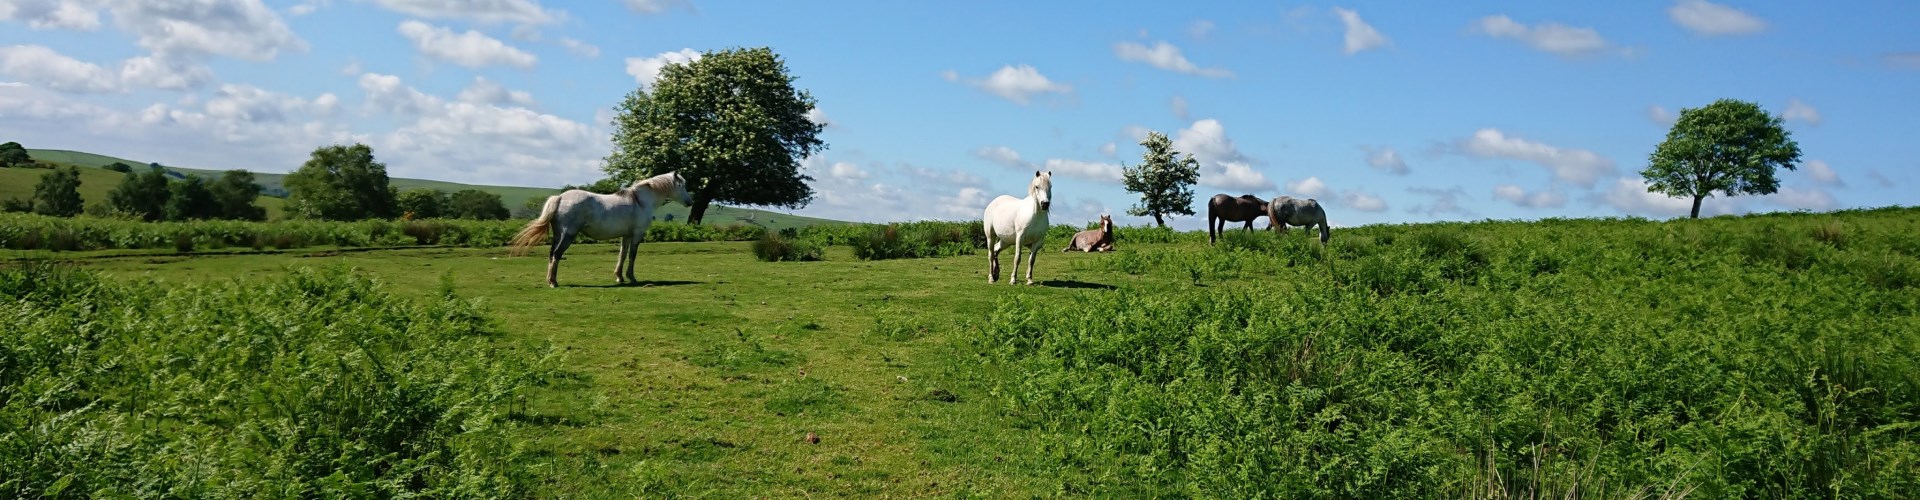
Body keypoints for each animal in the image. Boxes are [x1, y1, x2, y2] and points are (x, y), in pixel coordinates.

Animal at [506, 172, 695, 286]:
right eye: (682, 185)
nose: (690, 202)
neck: (640, 201)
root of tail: (560, 198)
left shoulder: (626, 236)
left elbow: (622, 255)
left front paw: (619, 277)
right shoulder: (636, 235)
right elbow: (632, 256)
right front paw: (631, 278)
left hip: (558, 235)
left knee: (552, 254)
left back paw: (549, 280)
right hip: (568, 235)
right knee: (557, 254)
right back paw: (553, 282)